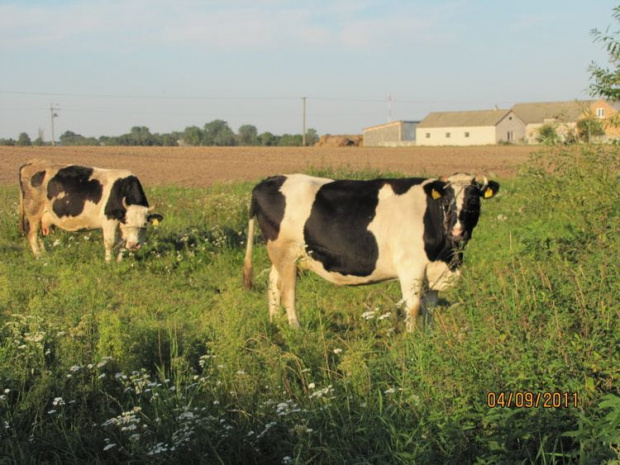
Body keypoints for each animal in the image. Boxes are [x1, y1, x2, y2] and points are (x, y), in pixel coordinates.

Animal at [19, 160, 163, 260]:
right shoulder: (109, 220)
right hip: (33, 213)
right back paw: (39, 257)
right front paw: (108, 262)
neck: (121, 189)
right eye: (127, 222)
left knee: (40, 237)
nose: (134, 245)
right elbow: (110, 243)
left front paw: (119, 262)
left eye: (144, 224)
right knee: (32, 235)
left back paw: (45, 255)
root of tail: (31, 163)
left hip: (43, 217)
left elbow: (121, 244)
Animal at [242, 173, 498, 330]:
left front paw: (429, 338)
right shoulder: (410, 268)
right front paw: (413, 342)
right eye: (446, 201)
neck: (446, 255)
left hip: (283, 257)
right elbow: (413, 307)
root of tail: (270, 180)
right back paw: (295, 328)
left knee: (273, 284)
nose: (457, 230)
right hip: (284, 252)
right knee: (287, 291)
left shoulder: (434, 273)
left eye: (474, 201)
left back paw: (274, 323)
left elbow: (429, 308)